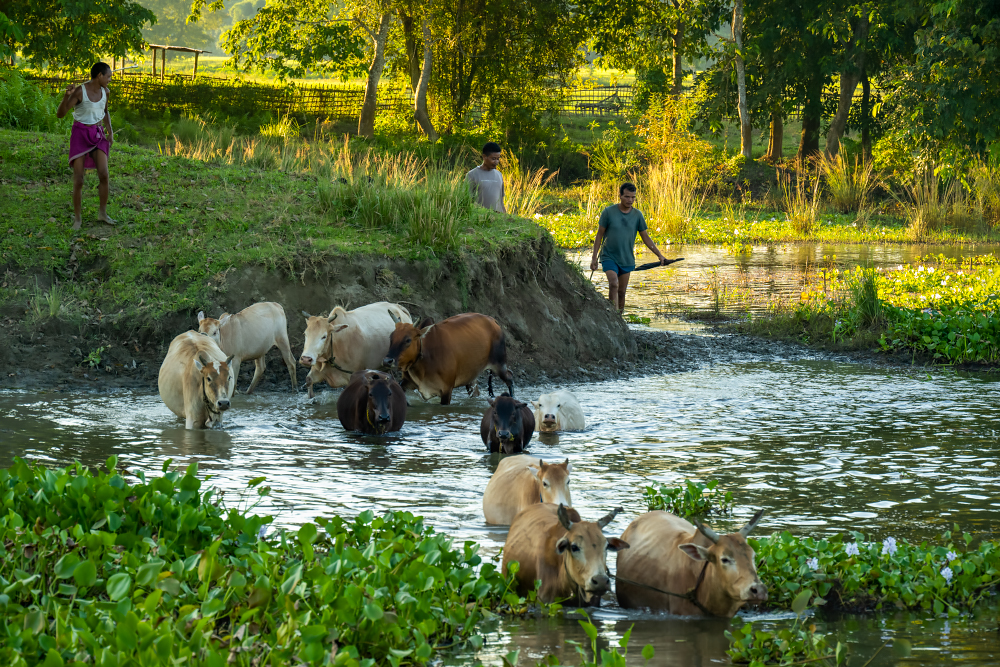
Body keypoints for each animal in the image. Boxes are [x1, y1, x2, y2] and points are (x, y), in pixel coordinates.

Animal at [383, 312, 514, 405]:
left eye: (408, 340)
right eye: (391, 337)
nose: (387, 361)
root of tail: (493, 320)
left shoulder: (446, 390)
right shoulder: (408, 383)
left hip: (499, 364)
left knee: (510, 379)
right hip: (471, 375)